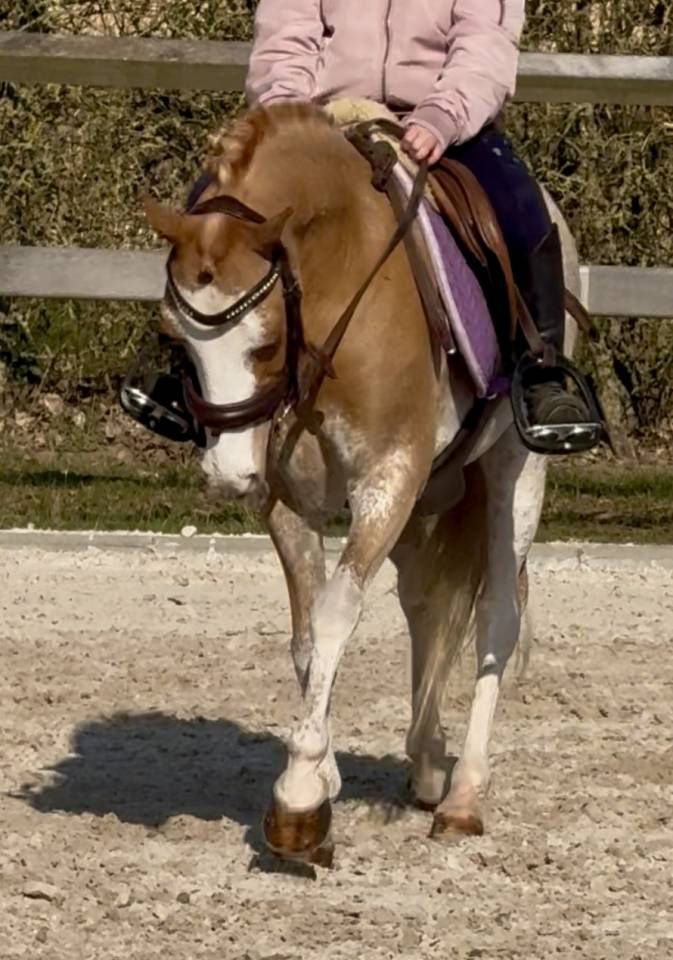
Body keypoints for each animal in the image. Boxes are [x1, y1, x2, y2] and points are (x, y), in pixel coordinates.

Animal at [144, 102, 580, 864]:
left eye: (264, 341)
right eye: (179, 342)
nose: (227, 475)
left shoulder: (388, 479)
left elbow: (334, 614)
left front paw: (297, 798)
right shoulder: (285, 500)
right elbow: (304, 636)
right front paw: (323, 778)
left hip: (514, 473)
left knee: (496, 615)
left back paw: (462, 796)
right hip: (434, 495)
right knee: (426, 606)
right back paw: (427, 762)